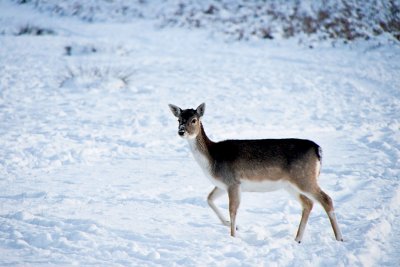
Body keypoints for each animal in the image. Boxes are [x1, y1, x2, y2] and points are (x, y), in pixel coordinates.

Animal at [169, 103, 344, 245]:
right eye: (178, 120)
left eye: (194, 120)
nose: (181, 131)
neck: (212, 160)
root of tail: (318, 150)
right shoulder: (223, 184)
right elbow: (209, 199)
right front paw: (229, 224)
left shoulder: (233, 182)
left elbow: (233, 210)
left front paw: (233, 236)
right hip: (291, 184)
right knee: (308, 203)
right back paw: (297, 239)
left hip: (304, 177)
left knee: (326, 199)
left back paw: (339, 238)